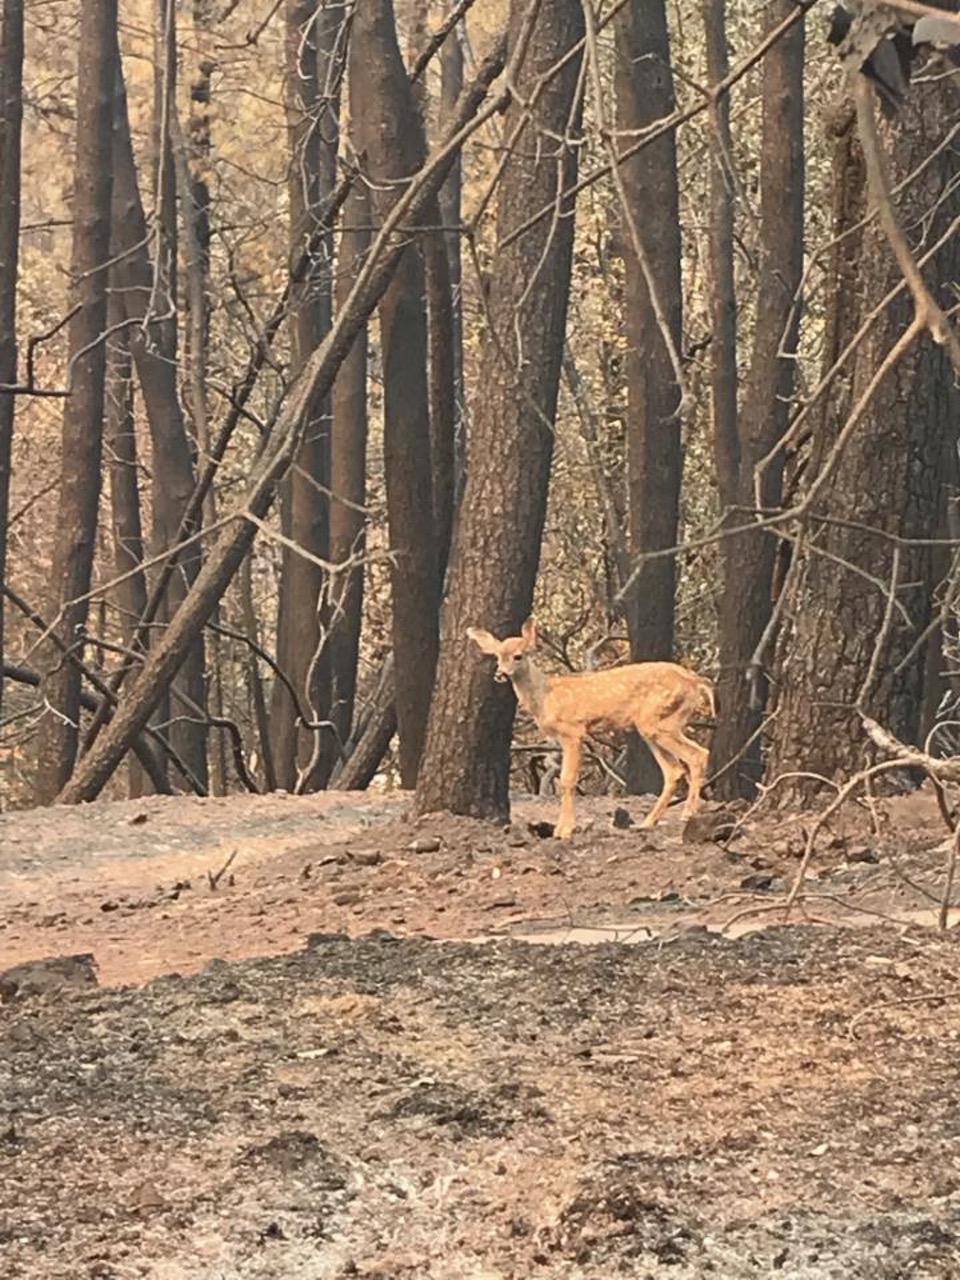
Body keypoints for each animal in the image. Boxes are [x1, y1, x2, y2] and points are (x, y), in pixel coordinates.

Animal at [465, 616, 716, 839]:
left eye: (518, 656)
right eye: (497, 656)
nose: (500, 674)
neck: (546, 696)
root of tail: (696, 681)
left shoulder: (573, 731)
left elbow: (567, 779)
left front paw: (564, 830)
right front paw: (562, 828)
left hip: (661, 720)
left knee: (698, 754)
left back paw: (687, 813)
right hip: (652, 726)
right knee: (674, 770)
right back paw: (647, 822)